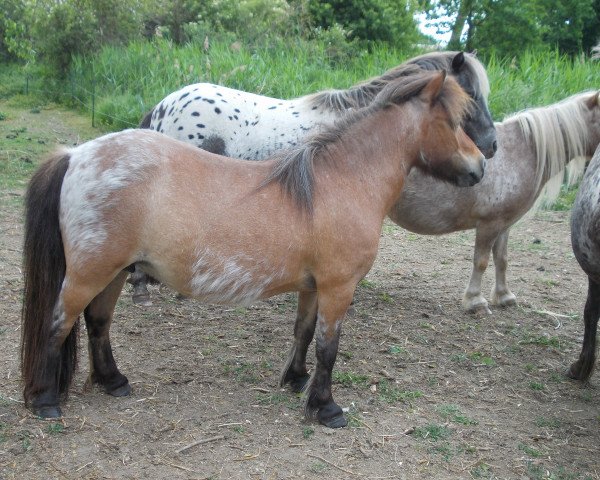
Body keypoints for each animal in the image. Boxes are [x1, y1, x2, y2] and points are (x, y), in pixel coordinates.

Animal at [21, 70, 486, 428]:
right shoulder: (339, 288)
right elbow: (328, 346)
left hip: (115, 271)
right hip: (90, 273)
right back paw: (45, 401)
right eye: (453, 121)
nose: (481, 166)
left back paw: (113, 381)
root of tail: (76, 155)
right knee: (59, 322)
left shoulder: (313, 287)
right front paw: (325, 408)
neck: (341, 181)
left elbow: (303, 332)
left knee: (98, 322)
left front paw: (295, 380)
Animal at [390, 90, 600, 316]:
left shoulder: (504, 225)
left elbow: (502, 259)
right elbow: (481, 261)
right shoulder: (488, 225)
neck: (521, 153)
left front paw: (504, 296)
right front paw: (475, 301)